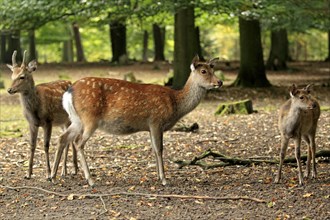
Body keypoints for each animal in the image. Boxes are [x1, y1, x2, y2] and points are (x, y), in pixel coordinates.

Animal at [7, 49, 78, 179]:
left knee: (68, 140)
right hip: (62, 123)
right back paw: (67, 170)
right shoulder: (32, 124)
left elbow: (46, 145)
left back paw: (69, 170)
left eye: (22, 77)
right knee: (68, 139)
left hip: (70, 118)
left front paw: (48, 173)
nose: (9, 90)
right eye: (12, 76)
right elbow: (32, 145)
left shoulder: (48, 121)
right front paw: (28, 174)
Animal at [51, 55, 222, 186]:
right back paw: (90, 180)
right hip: (90, 118)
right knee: (78, 142)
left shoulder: (150, 126)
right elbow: (159, 149)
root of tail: (68, 92)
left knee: (63, 138)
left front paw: (158, 176)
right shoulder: (156, 120)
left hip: (76, 119)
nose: (219, 82)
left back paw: (52, 176)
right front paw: (164, 180)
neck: (175, 103)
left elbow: (154, 148)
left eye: (213, 69)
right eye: (203, 71)